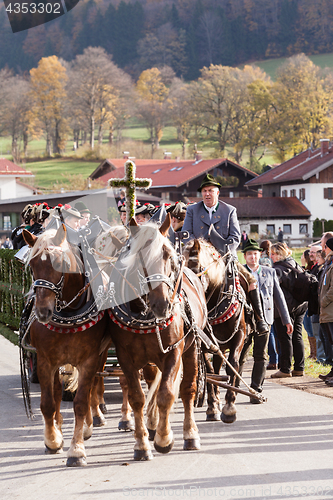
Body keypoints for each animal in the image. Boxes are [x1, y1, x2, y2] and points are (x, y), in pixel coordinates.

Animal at [22, 225, 111, 466]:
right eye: (32, 266)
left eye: (59, 264)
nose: (43, 312)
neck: (69, 313)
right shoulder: (45, 360)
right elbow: (48, 402)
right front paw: (53, 440)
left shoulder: (89, 359)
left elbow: (80, 401)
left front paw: (77, 449)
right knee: (56, 393)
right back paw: (58, 428)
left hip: (101, 355)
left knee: (92, 388)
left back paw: (92, 421)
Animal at [107, 216, 206, 460]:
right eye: (138, 257)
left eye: (168, 256)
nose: (163, 305)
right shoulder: (125, 358)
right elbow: (137, 398)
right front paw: (142, 444)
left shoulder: (174, 352)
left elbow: (167, 394)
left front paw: (164, 438)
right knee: (152, 383)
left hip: (191, 348)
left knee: (187, 389)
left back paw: (190, 434)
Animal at [182, 238, 246, 422]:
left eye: (195, 267)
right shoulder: (203, 341)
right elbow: (209, 371)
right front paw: (212, 407)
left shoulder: (240, 334)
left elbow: (233, 365)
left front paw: (230, 407)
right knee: (215, 368)